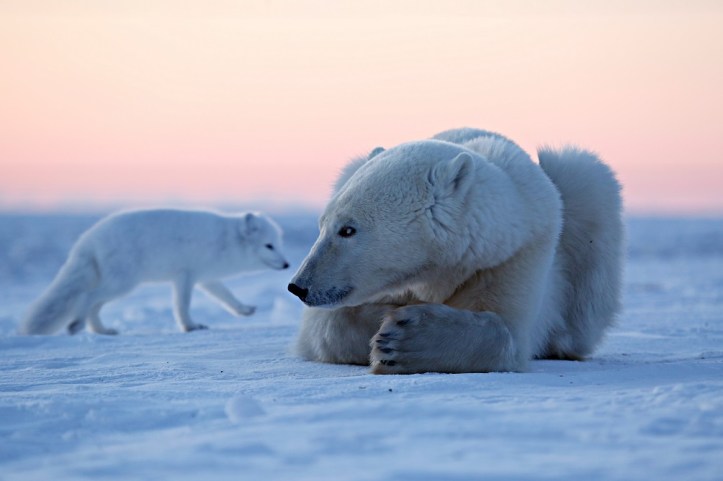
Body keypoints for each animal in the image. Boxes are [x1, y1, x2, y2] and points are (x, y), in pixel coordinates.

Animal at [288, 128, 624, 374]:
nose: (299, 286)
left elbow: (506, 331)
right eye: (322, 224)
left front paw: (401, 340)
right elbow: (326, 328)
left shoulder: (513, 254)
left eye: (348, 229)